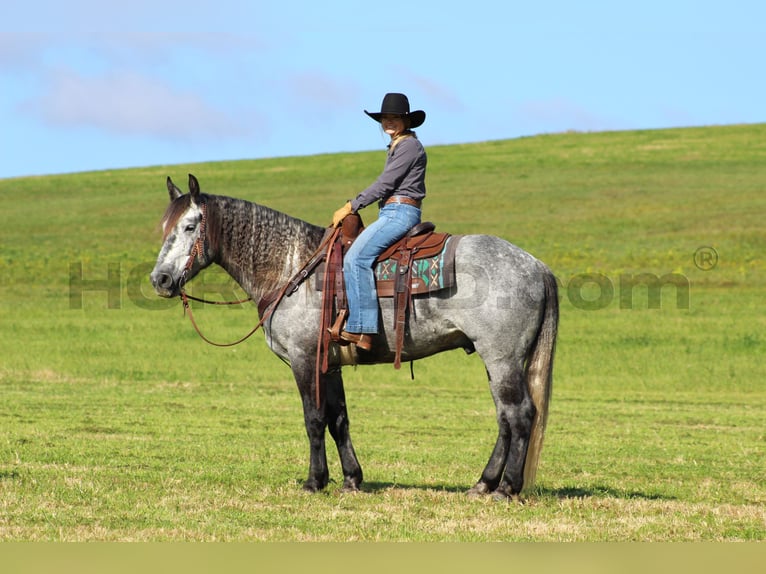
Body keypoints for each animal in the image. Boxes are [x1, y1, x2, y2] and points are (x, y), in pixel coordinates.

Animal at [150, 173, 560, 502]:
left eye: (190, 227)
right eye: (165, 227)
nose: (160, 280)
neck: (291, 267)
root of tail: (536, 265)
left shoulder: (304, 359)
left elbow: (314, 419)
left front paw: (315, 481)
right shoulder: (330, 365)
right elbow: (339, 420)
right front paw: (351, 479)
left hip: (502, 359)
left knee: (520, 415)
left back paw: (506, 488)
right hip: (497, 361)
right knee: (505, 418)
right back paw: (483, 484)